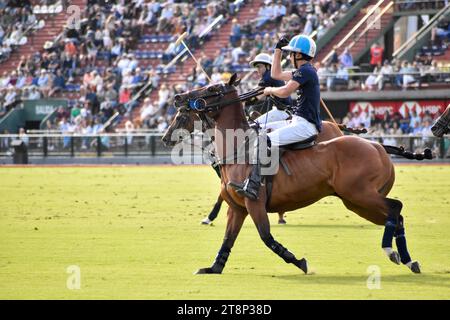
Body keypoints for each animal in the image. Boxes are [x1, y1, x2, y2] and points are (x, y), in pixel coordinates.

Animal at [164, 75, 422, 276]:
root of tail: (377, 147)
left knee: (396, 207)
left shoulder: (254, 202)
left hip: (361, 194)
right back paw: (408, 259)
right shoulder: (237, 208)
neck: (237, 150)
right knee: (395, 216)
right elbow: (228, 239)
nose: (178, 97)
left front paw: (299, 262)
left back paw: (391, 251)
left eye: (211, 89)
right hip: (356, 202)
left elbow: (266, 237)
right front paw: (213, 268)